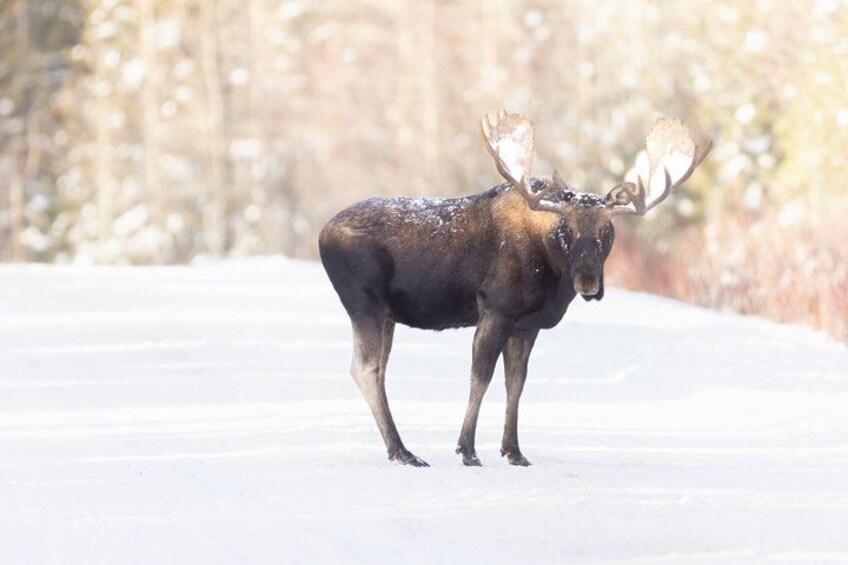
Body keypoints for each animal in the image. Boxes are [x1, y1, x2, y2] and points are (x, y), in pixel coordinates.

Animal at [319, 111, 711, 467]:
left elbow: (516, 383)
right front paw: (468, 450)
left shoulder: (527, 324)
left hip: (387, 315)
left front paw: (514, 451)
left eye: (606, 231)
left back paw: (398, 449)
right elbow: (481, 378)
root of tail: (322, 234)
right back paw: (403, 451)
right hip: (364, 304)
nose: (588, 281)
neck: (552, 274)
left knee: (378, 370)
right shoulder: (495, 309)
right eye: (567, 229)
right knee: (365, 369)